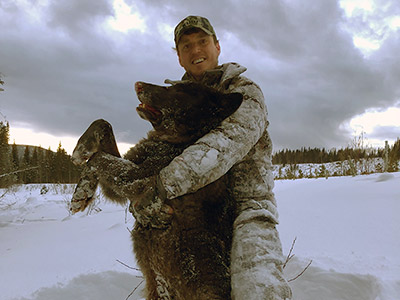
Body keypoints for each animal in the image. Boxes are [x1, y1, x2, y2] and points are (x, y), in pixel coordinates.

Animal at [70, 81, 242, 298]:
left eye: (179, 90)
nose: (138, 84)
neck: (180, 139)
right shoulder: (122, 181)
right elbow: (103, 123)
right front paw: (82, 192)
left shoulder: (138, 180)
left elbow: (98, 157)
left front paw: (80, 155)